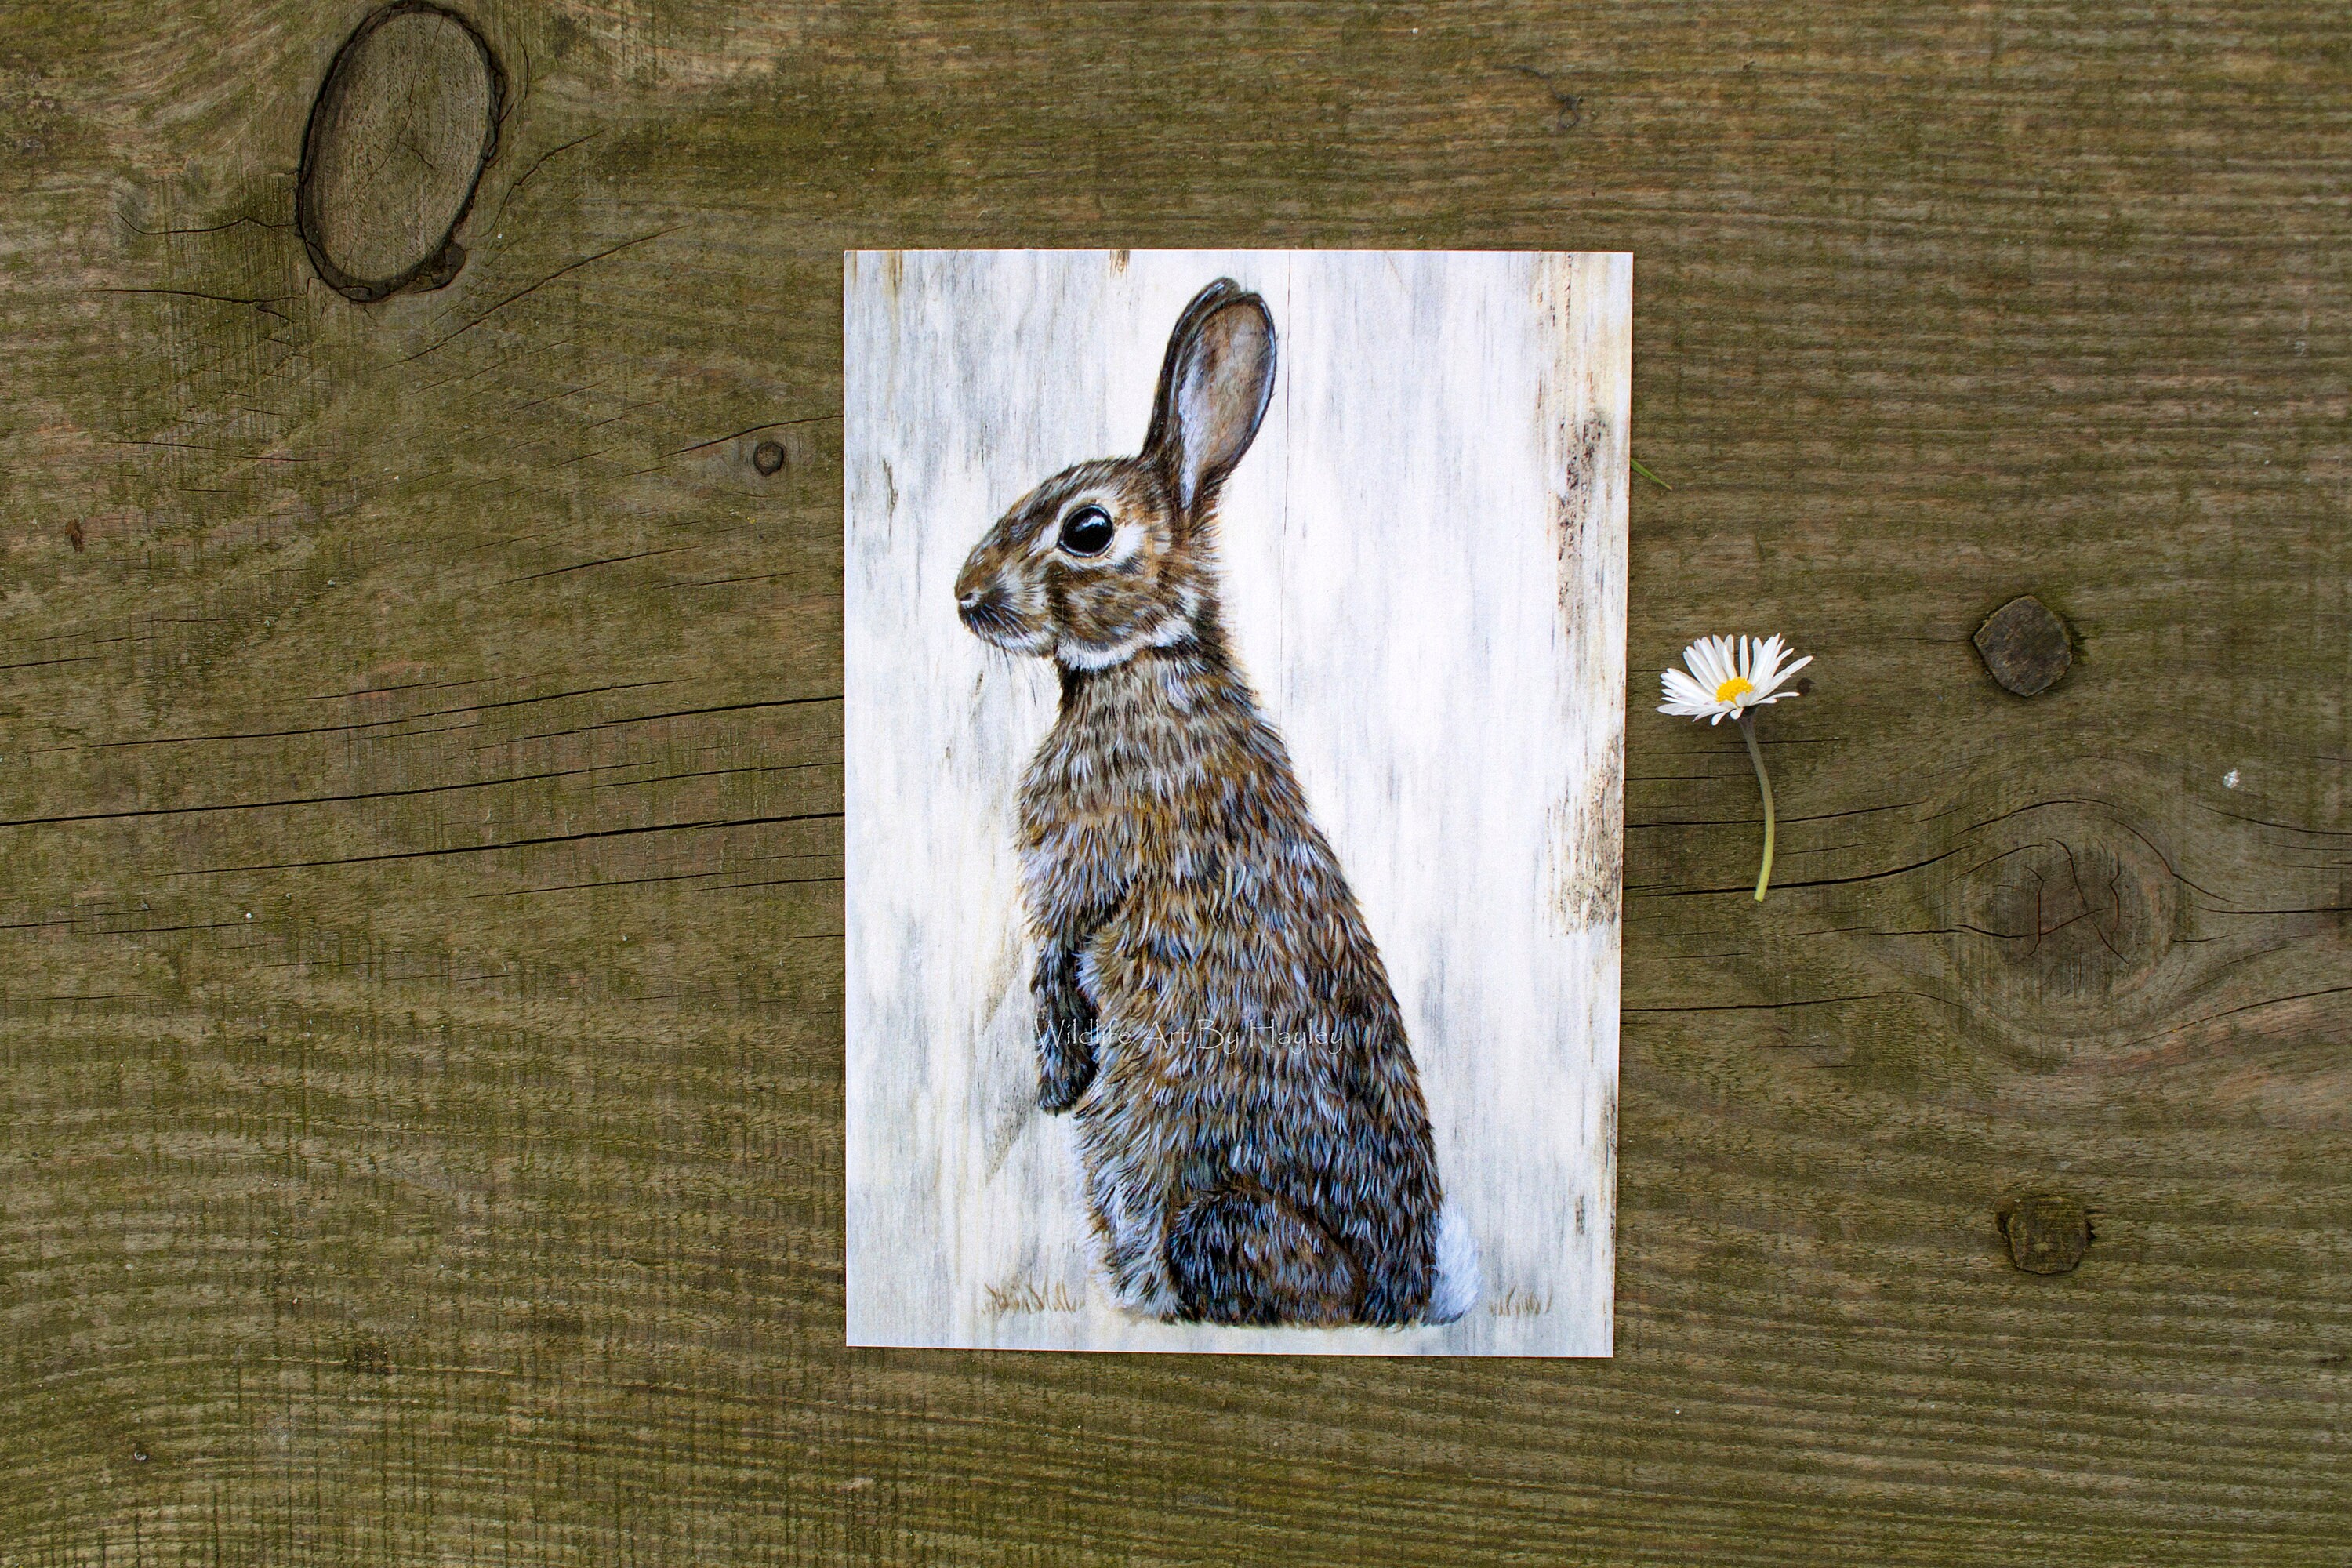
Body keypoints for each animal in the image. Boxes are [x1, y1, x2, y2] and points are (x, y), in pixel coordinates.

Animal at [954, 277, 1478, 1327]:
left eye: (1088, 530)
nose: (964, 596)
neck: (1141, 663)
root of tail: (1396, 1297)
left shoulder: (1085, 871)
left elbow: (1059, 959)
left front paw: (1058, 1077)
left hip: (1220, 1223)